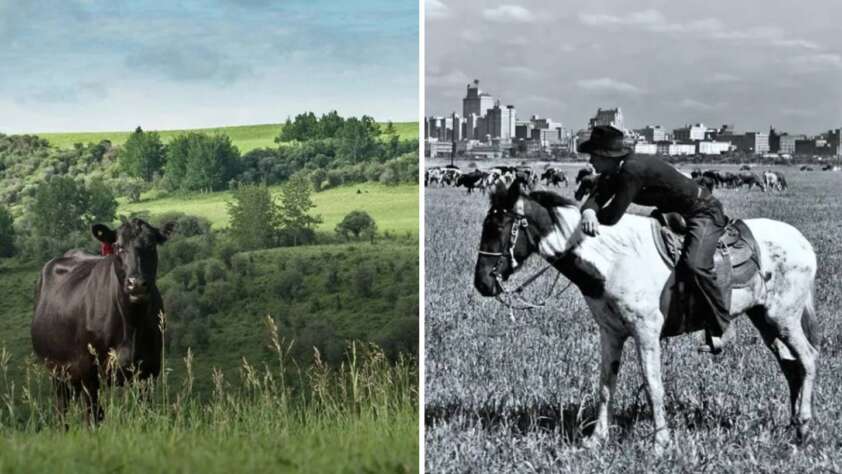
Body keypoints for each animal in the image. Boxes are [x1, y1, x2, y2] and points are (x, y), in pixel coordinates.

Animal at [32, 218, 174, 422]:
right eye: (118, 247)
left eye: (151, 245)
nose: (137, 284)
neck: (131, 323)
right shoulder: (89, 371)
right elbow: (94, 416)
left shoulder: (148, 371)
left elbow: (145, 414)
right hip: (56, 371)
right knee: (62, 411)